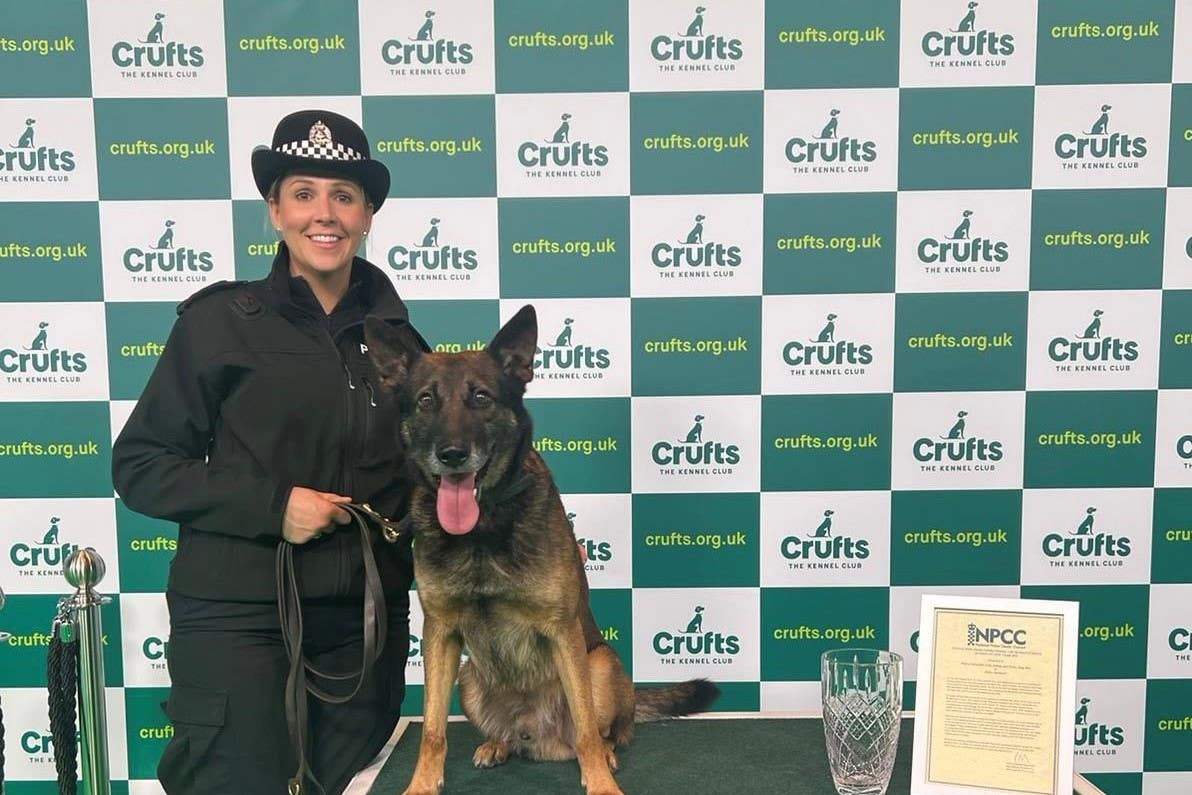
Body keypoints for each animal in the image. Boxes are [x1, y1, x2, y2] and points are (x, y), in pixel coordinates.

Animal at [362, 305, 715, 795]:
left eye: (482, 397)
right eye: (426, 401)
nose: (452, 454)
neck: (484, 527)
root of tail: (542, 735)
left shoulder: (562, 631)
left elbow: (586, 729)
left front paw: (601, 783)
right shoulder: (439, 633)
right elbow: (432, 729)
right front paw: (421, 785)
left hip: (599, 664)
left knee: (605, 730)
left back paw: (605, 753)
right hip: (469, 677)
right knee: (508, 734)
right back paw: (497, 744)